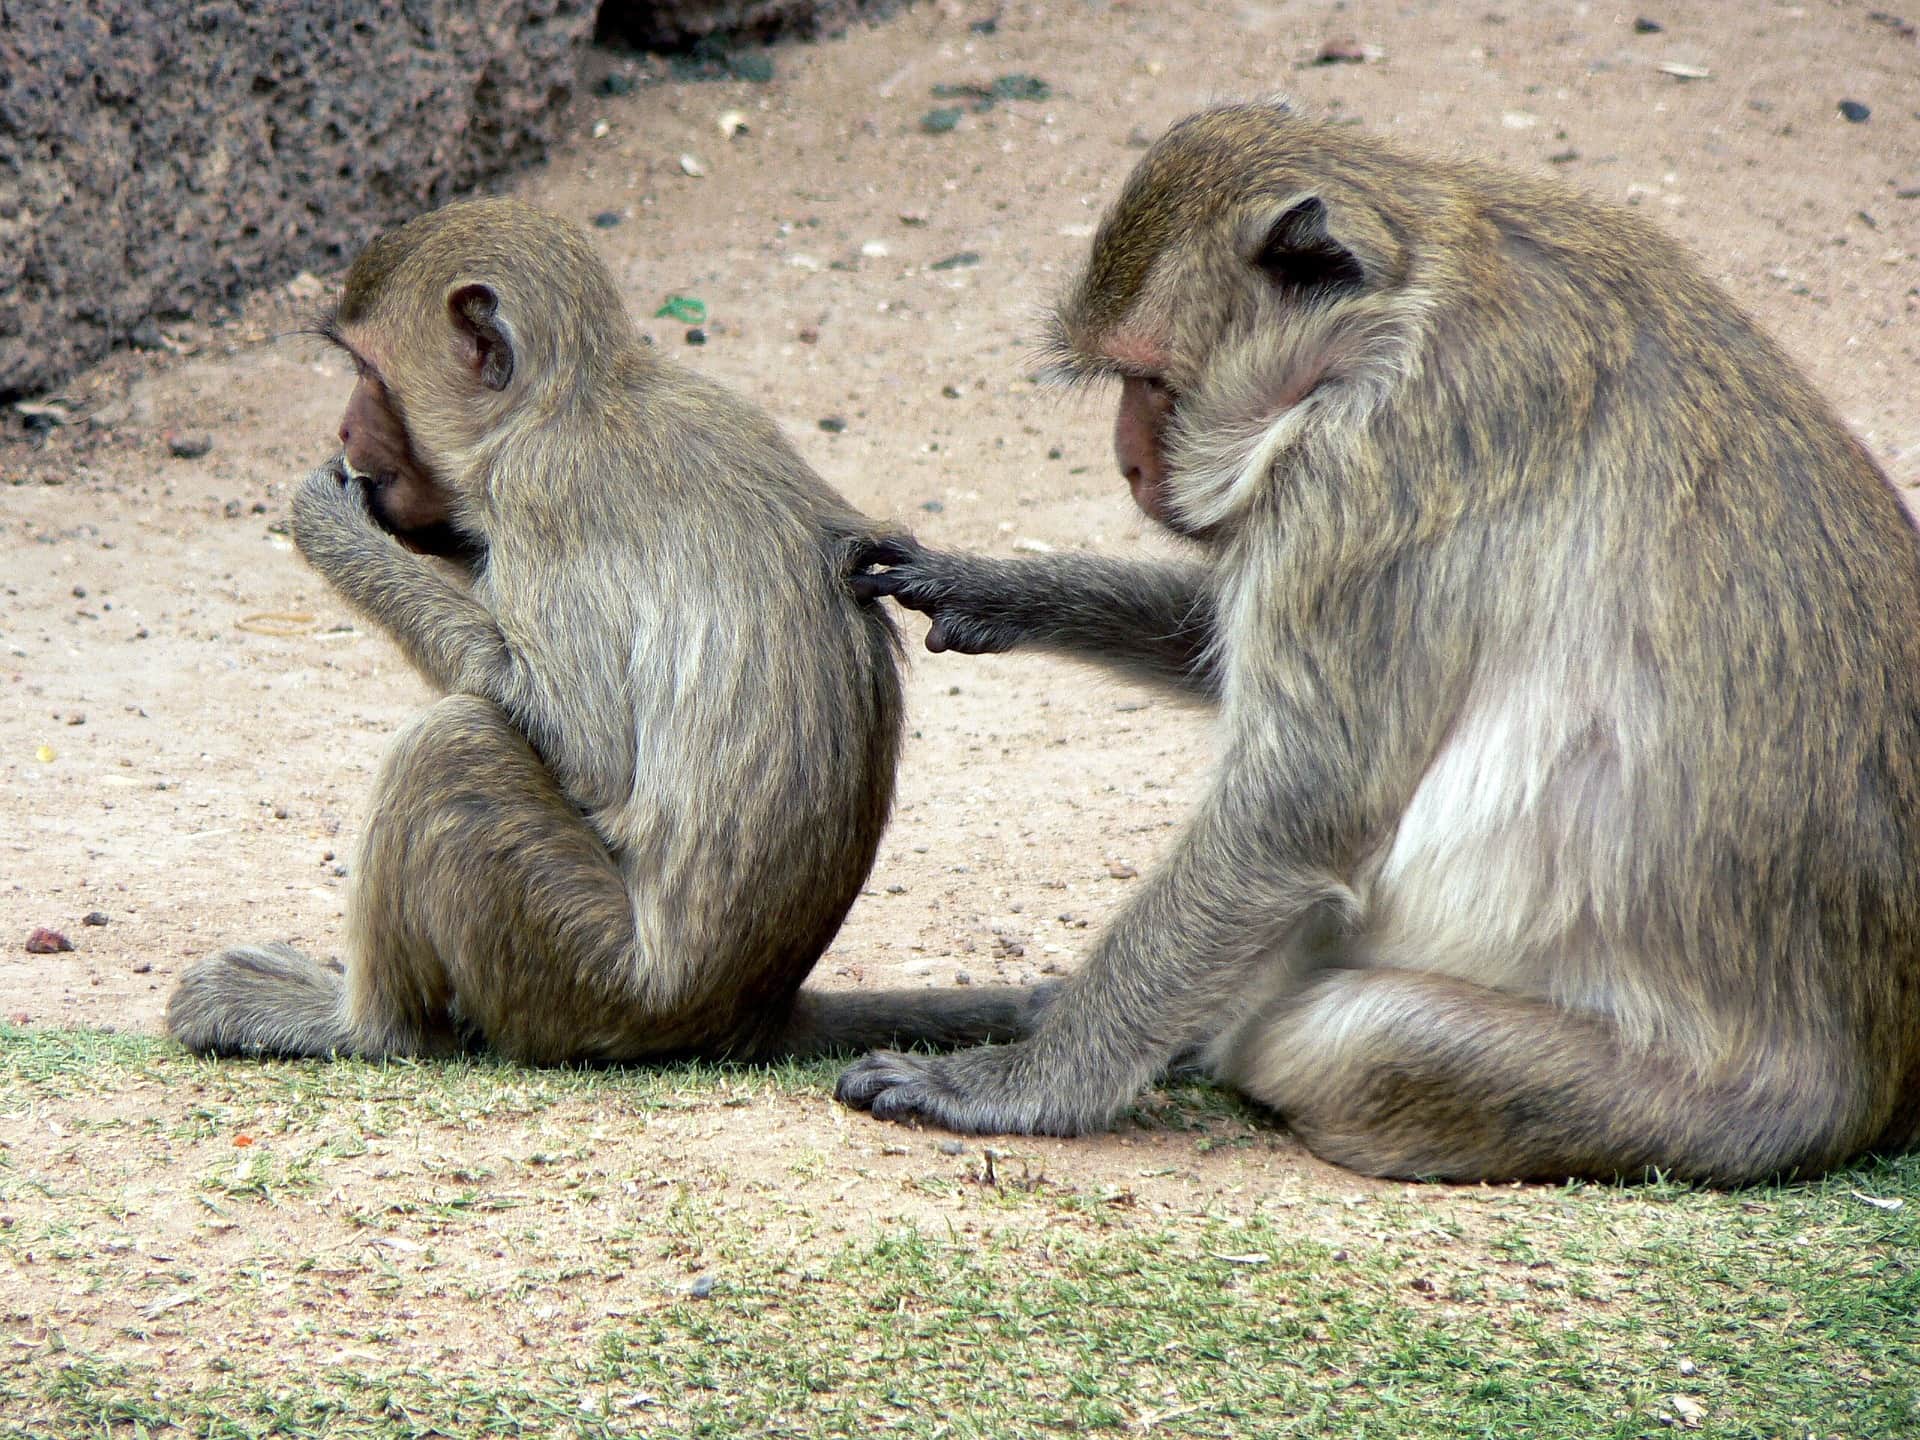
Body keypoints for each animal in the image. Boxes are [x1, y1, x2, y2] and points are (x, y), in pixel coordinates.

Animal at [165, 197, 1041, 1067]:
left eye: (368, 374)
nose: (346, 433)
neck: (569, 400)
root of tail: (750, 1013)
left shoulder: (538, 489)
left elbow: (588, 749)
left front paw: (328, 526)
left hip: (579, 972)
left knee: (451, 746)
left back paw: (364, 1028)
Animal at [836, 101, 1920, 1184]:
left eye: (1150, 381)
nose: (1129, 464)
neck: (1409, 300)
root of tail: (1878, 1090)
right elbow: (1216, 646)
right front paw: (993, 587)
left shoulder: (1366, 472)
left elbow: (1295, 812)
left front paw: (1017, 1083)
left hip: (1694, 1112)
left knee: (1341, 1038)